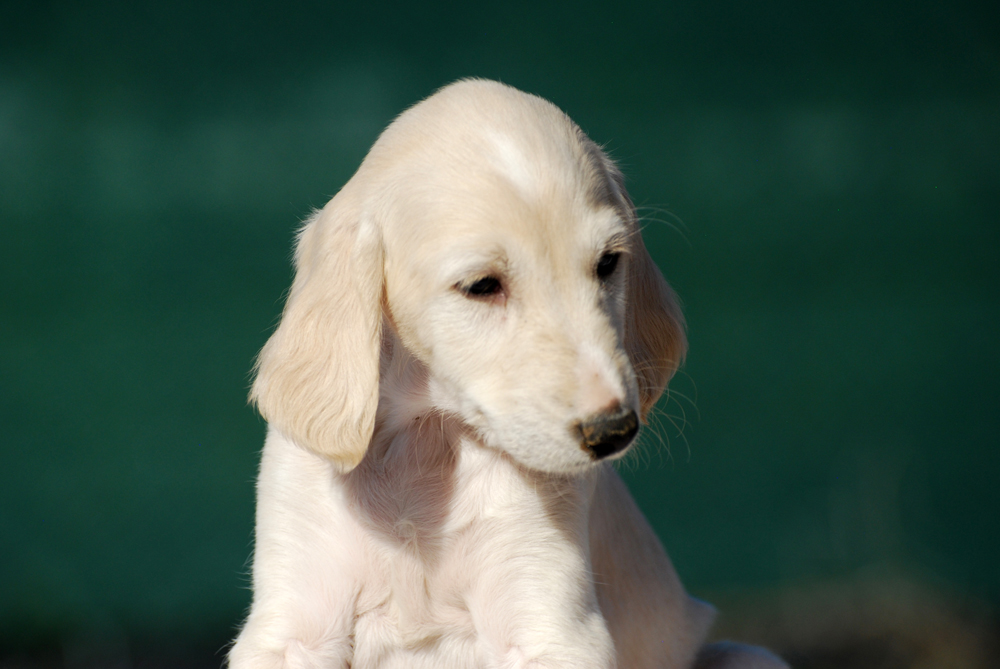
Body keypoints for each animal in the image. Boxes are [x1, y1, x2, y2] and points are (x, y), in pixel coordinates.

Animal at [229, 79, 787, 669]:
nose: (614, 430)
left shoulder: (550, 628)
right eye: (482, 285)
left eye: (608, 263)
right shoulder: (294, 627)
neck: (424, 446)